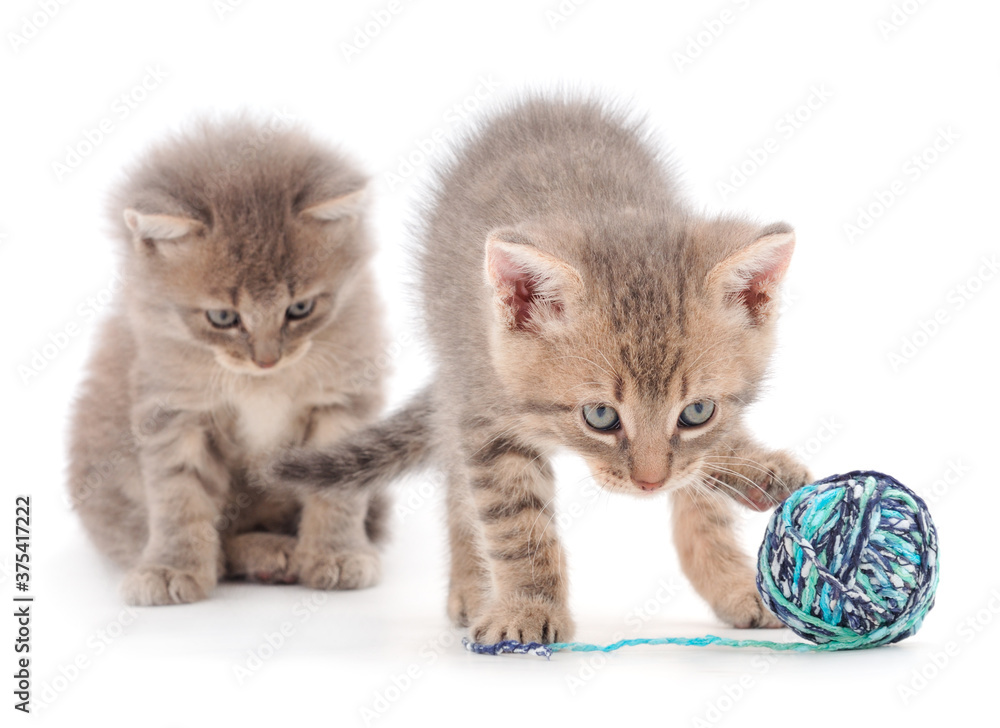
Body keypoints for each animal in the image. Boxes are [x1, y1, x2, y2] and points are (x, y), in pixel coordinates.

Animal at [69, 118, 390, 608]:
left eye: (300, 309)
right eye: (222, 317)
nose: (266, 359)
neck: (261, 386)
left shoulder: (344, 400)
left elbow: (337, 495)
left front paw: (337, 555)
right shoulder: (174, 410)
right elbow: (179, 497)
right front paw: (171, 567)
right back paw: (266, 554)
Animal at [274, 98, 812, 644]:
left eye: (696, 412)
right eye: (600, 416)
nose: (648, 484)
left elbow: (703, 485)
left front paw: (741, 534)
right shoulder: (486, 417)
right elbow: (516, 521)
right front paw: (528, 608)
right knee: (457, 485)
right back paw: (472, 585)